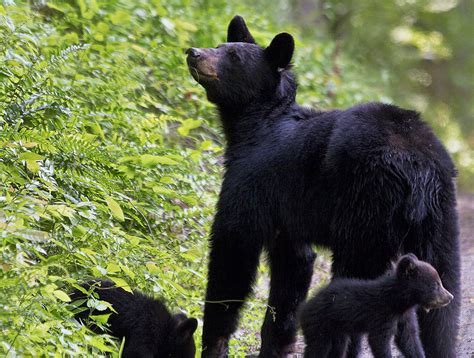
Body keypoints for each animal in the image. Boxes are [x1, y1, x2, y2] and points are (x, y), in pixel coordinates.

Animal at [298, 253, 454, 356]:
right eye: (435, 285)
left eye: (440, 282)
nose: (450, 297)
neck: (399, 303)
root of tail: (304, 307)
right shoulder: (382, 316)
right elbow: (379, 341)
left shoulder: (405, 317)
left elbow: (409, 340)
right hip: (319, 326)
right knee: (317, 348)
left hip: (337, 330)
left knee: (338, 349)